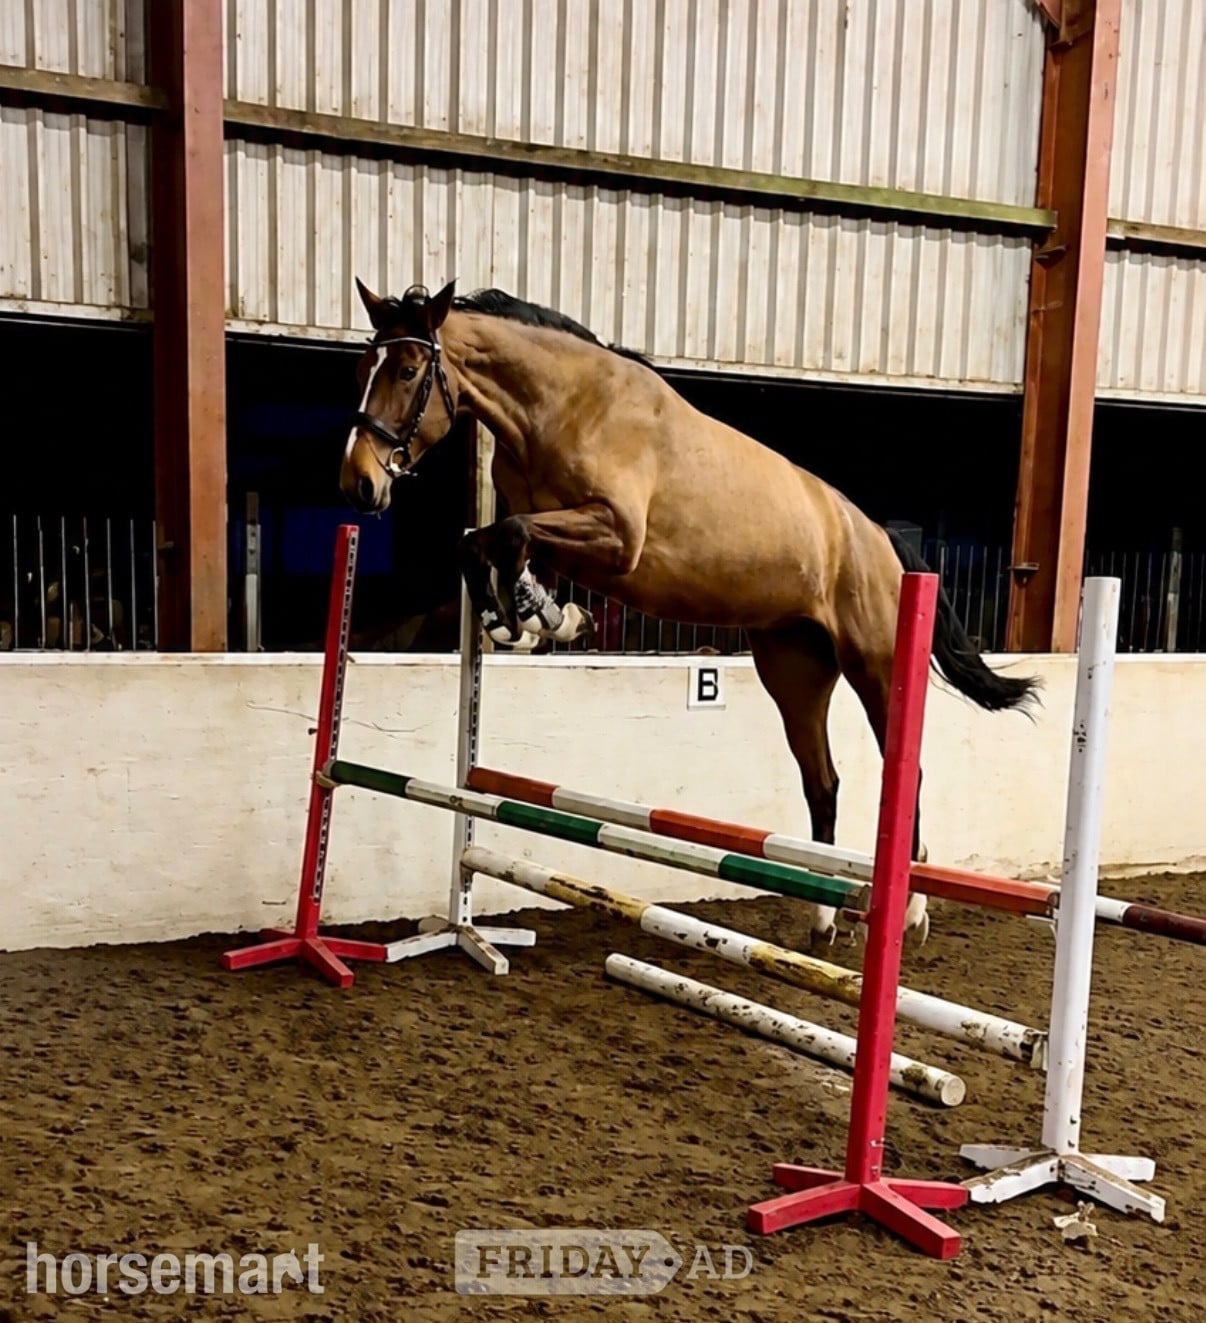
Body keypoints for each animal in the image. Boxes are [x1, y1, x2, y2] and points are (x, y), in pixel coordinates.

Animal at [339, 279, 1040, 947]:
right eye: (363, 367)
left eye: (407, 371)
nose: (359, 484)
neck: (559, 407)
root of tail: (883, 542)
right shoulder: (555, 533)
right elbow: (483, 543)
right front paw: (532, 618)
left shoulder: (616, 537)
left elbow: (508, 536)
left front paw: (531, 620)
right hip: (795, 669)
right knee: (823, 782)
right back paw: (821, 921)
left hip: (877, 668)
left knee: (907, 773)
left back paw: (912, 913)